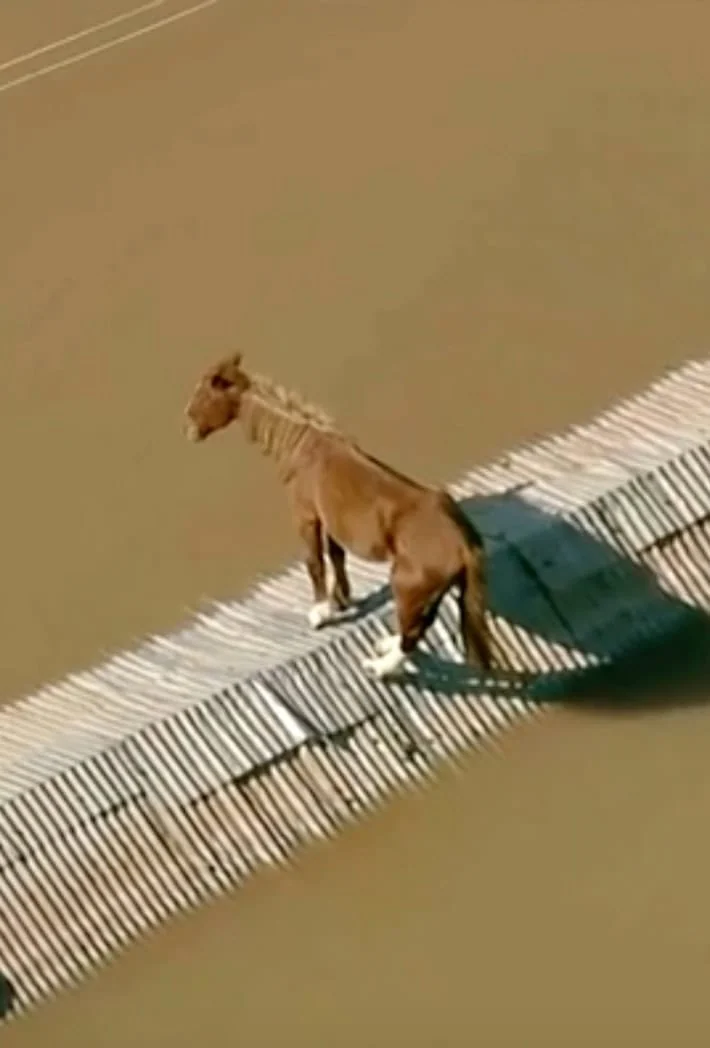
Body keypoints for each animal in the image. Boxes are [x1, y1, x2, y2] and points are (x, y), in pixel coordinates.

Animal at [183, 352, 492, 680]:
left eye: (204, 395)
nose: (188, 429)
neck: (301, 445)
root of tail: (465, 542)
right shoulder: (331, 521)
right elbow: (337, 557)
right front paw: (343, 600)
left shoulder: (307, 516)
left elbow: (315, 563)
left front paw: (320, 613)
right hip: (432, 591)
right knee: (421, 624)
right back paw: (385, 646)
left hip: (408, 586)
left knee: (413, 632)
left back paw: (379, 667)